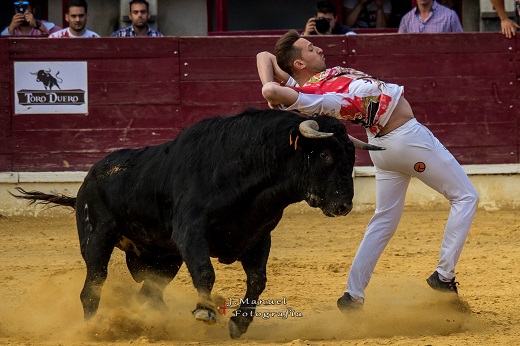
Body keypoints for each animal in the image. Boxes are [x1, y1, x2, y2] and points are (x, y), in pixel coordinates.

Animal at [13, 109, 382, 340]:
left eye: (351, 156)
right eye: (325, 155)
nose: (344, 205)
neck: (247, 168)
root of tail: (87, 180)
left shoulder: (258, 237)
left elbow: (258, 281)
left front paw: (239, 324)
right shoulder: (191, 232)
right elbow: (206, 272)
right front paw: (205, 312)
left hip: (164, 258)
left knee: (149, 293)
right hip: (97, 240)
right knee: (93, 288)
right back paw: (93, 329)